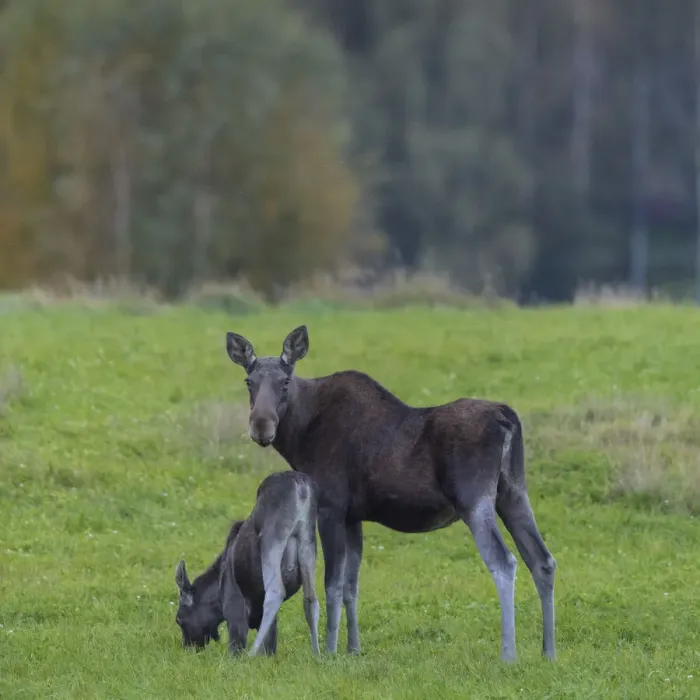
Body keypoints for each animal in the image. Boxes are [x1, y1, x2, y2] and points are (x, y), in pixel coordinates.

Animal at [174, 470, 320, 657]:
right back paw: (319, 654)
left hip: (272, 538)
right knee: (311, 598)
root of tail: (301, 486)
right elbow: (270, 644)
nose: (188, 647)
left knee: (275, 592)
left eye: (179, 619)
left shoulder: (234, 607)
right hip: (309, 542)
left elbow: (237, 645)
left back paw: (252, 653)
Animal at [224, 325, 557, 663]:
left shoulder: (331, 508)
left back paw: (508, 654)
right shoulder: (353, 517)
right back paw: (549, 651)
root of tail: (507, 417)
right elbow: (351, 586)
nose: (261, 426)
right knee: (542, 560)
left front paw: (329, 652)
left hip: (474, 500)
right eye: (249, 381)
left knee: (505, 562)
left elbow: (332, 585)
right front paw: (353, 649)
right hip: (513, 492)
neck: (299, 433)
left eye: (285, 381)